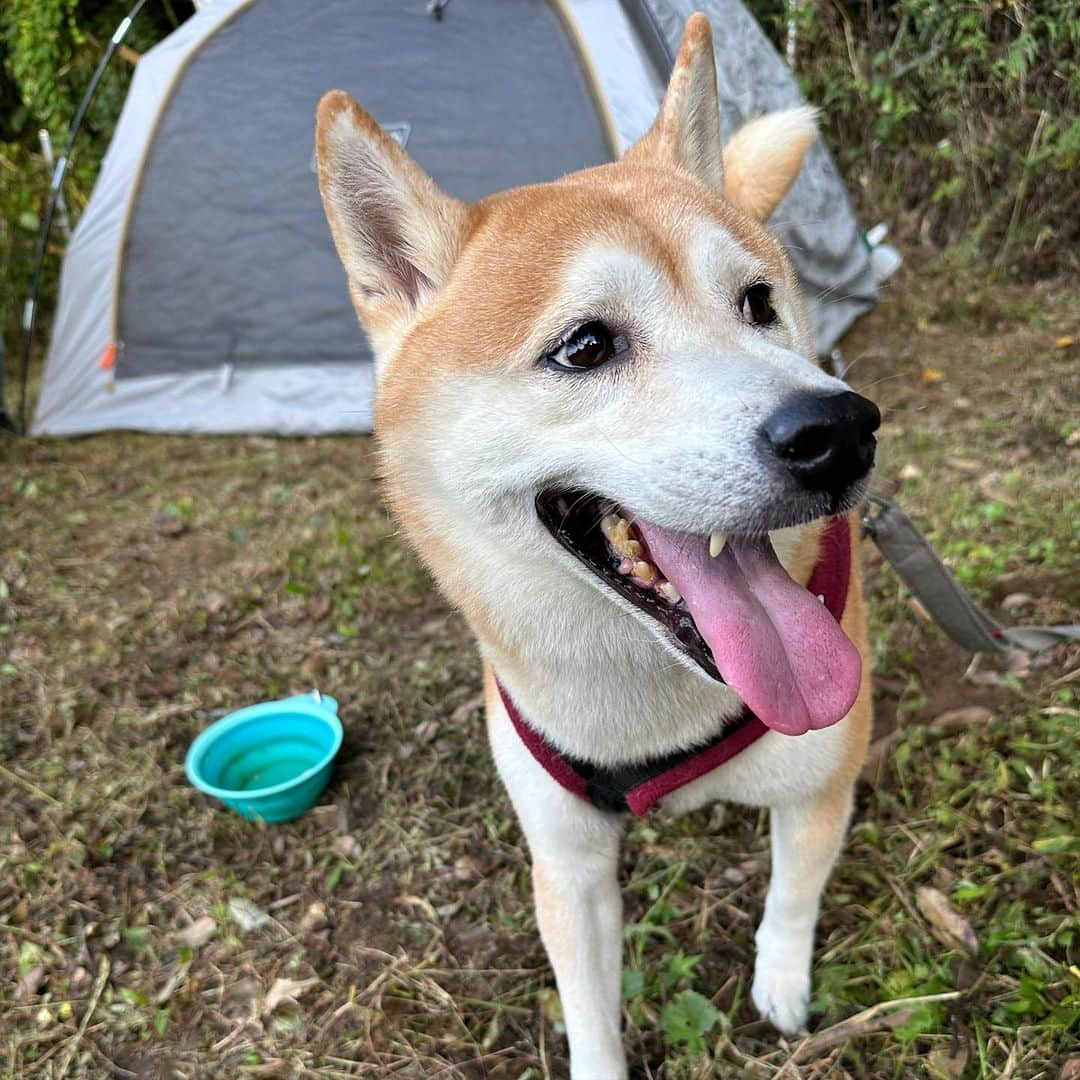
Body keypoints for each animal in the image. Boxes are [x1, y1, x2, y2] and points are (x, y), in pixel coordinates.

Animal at [313, 14, 876, 1071]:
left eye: (757, 303)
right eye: (584, 347)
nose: (840, 431)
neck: (651, 716)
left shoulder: (821, 784)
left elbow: (791, 894)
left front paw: (782, 985)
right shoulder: (566, 865)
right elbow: (588, 1011)